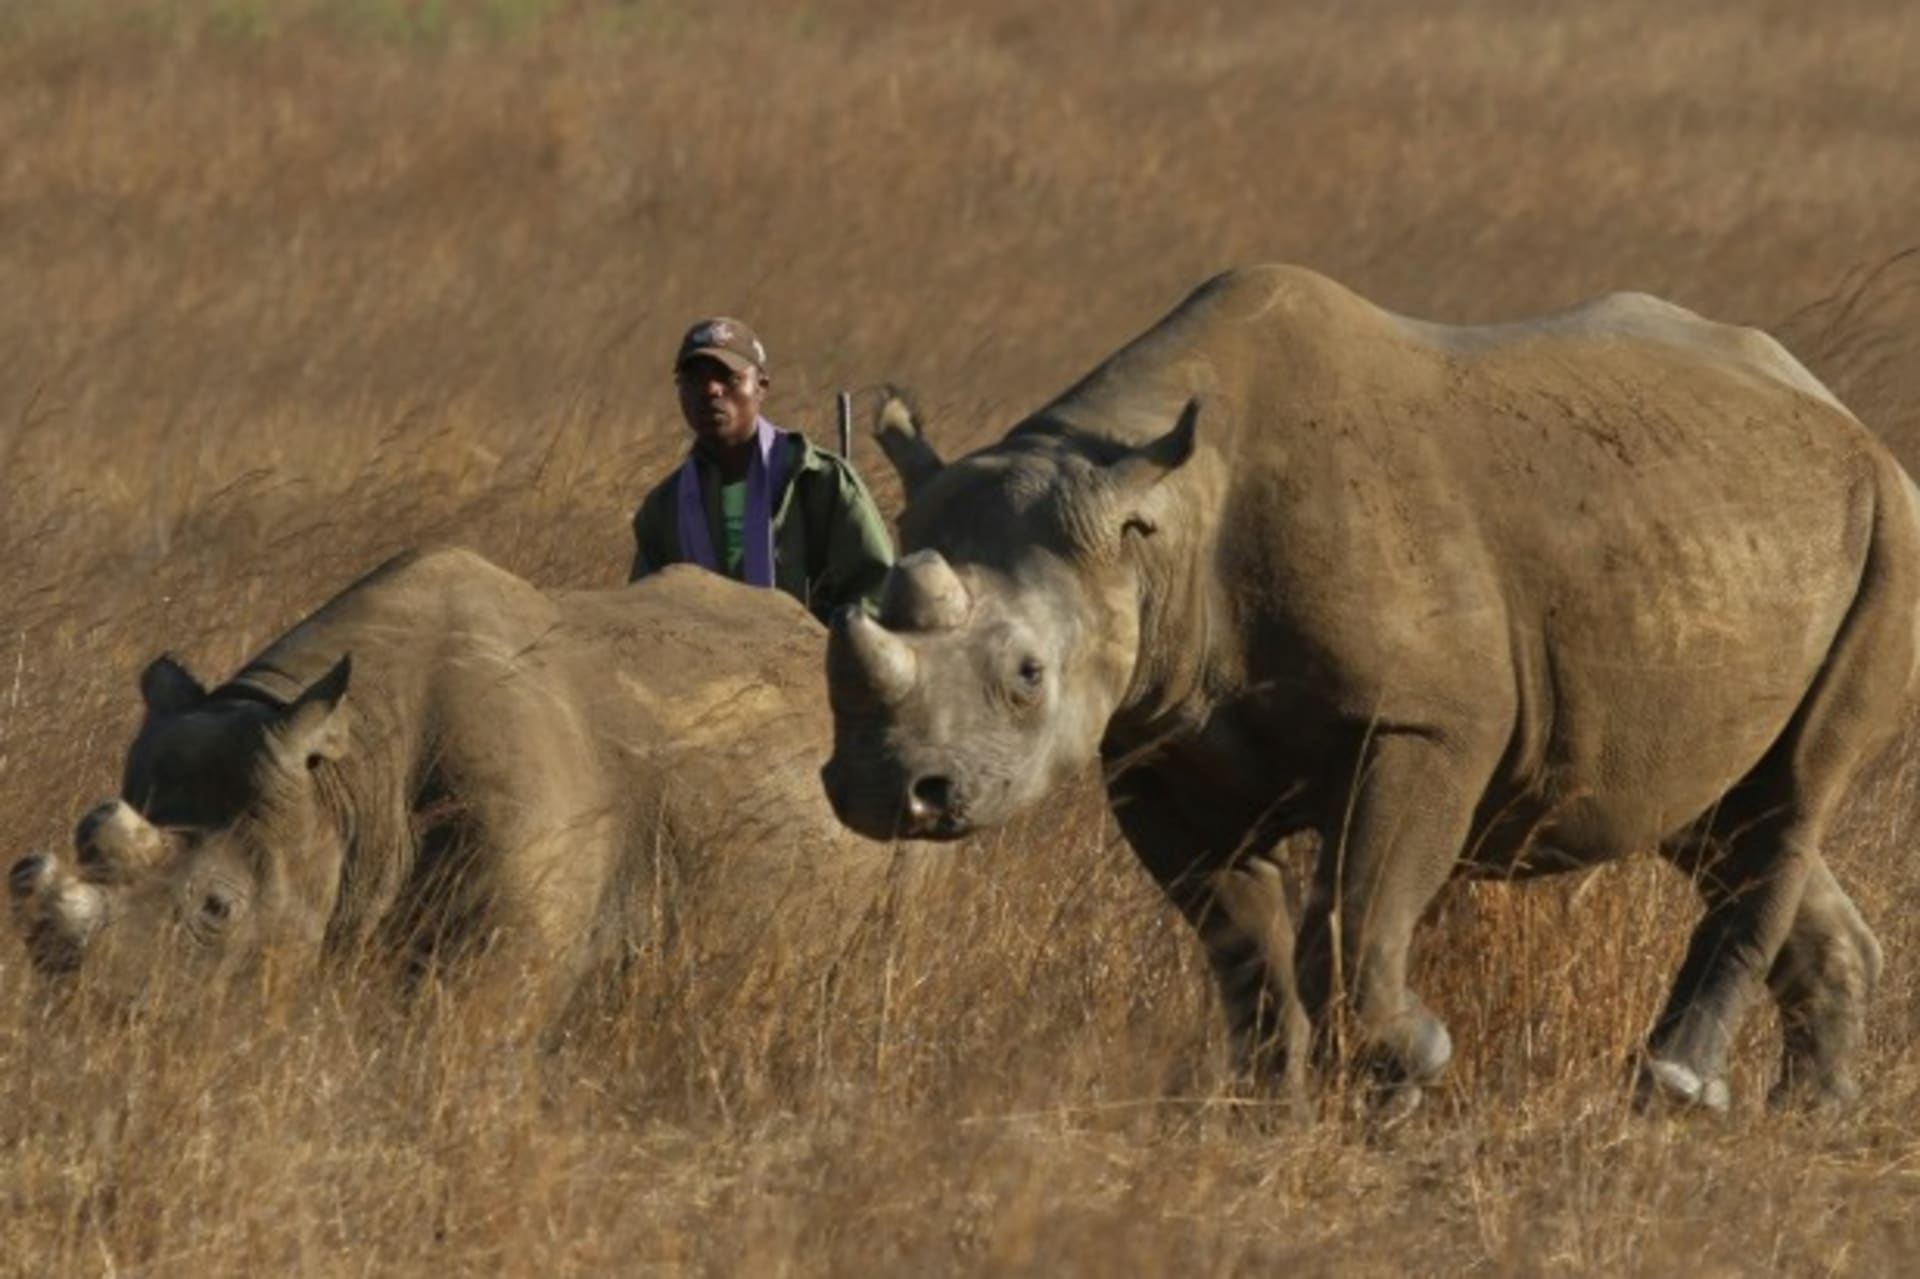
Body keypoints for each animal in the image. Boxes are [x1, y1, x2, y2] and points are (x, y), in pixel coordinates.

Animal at [824, 264, 1920, 1112]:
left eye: (1028, 675)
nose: (888, 789)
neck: (1158, 527)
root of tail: (1839, 410)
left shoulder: (1424, 723)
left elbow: (1354, 916)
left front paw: (1410, 1065)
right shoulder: (1154, 740)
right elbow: (1242, 943)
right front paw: (1266, 1106)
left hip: (1889, 531)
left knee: (1793, 793)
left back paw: (1680, 1089)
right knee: (1712, 812)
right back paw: (1809, 1109)